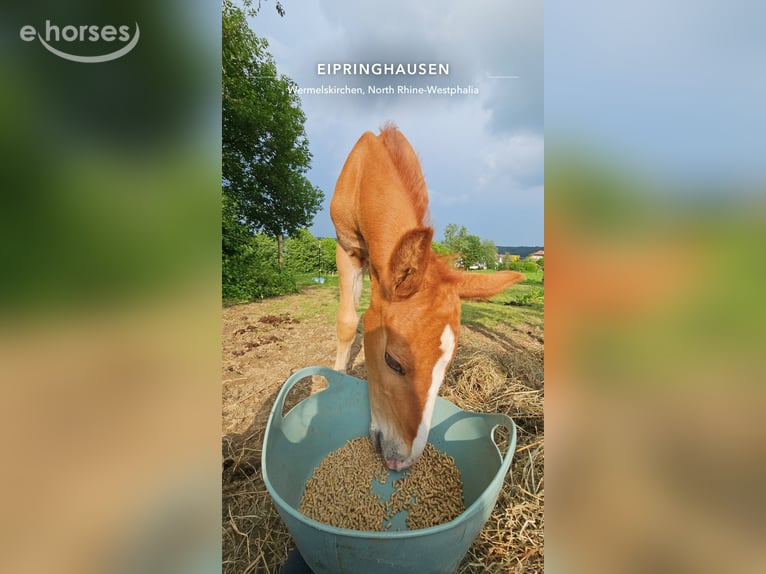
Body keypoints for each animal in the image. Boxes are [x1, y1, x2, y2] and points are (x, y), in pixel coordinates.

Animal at [330, 124, 523, 471]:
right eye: (392, 361)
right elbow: (348, 321)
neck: (366, 174)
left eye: (447, 366)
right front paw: (335, 379)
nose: (403, 461)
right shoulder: (346, 247)